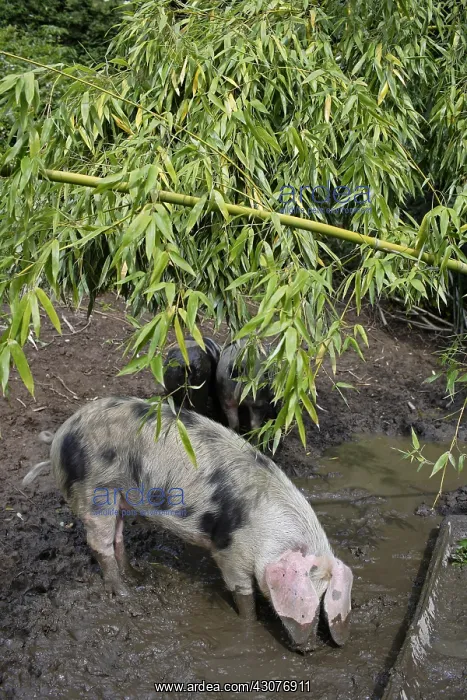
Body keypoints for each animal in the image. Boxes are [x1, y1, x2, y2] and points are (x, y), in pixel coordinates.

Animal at [22, 397, 353, 651]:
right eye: (307, 597)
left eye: (324, 597)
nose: (311, 649)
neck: (268, 536)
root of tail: (62, 433)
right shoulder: (230, 552)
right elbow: (243, 594)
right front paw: (248, 625)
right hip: (95, 492)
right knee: (98, 543)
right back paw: (124, 594)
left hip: (120, 497)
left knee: (117, 537)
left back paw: (138, 577)